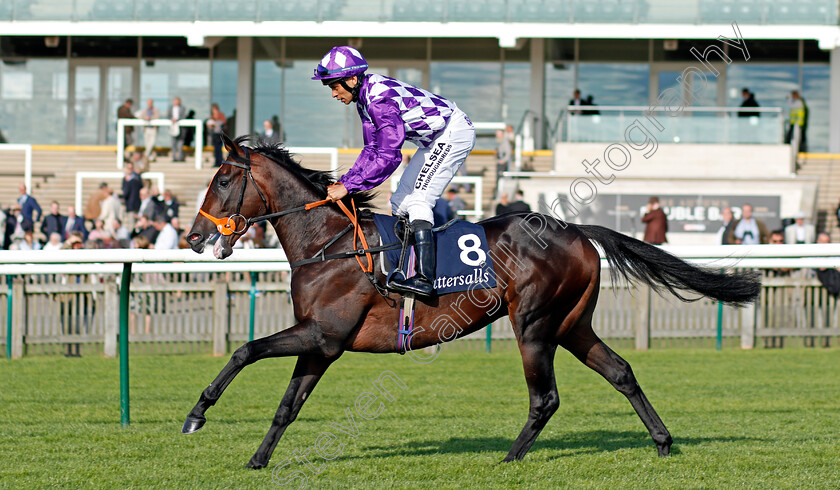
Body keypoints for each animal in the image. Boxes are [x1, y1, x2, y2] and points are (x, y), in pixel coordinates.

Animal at [184, 133, 760, 468]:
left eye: (224, 178)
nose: (193, 237)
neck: (330, 243)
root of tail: (575, 229)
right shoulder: (321, 344)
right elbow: (287, 405)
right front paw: (257, 460)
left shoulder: (323, 334)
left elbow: (244, 350)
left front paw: (196, 415)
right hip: (572, 323)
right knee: (620, 371)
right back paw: (662, 441)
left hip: (534, 323)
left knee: (545, 398)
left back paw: (509, 458)